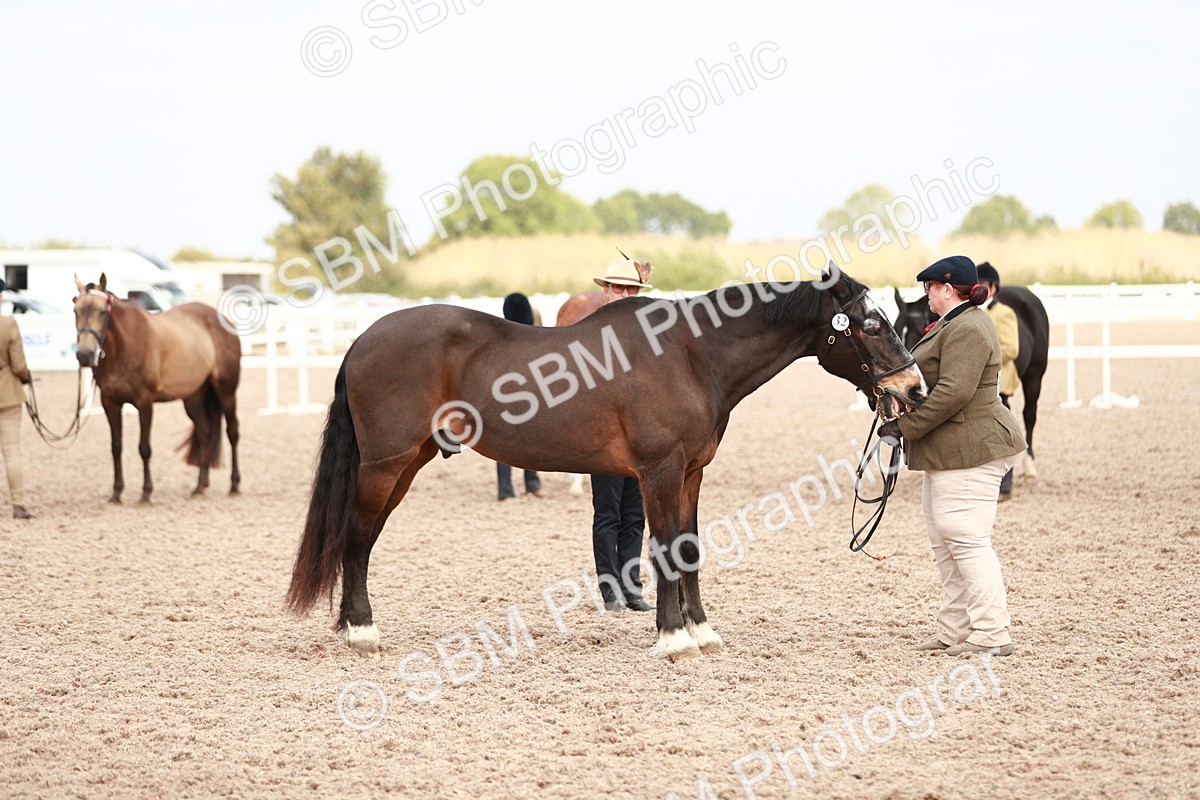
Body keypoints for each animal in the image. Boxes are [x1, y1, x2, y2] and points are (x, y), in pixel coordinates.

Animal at [73, 274, 243, 503]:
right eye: (76, 310)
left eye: (103, 311)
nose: (85, 355)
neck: (126, 346)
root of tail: (221, 319)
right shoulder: (110, 403)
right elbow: (116, 447)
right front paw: (116, 493)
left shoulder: (145, 403)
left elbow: (144, 448)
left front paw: (146, 492)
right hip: (194, 398)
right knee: (205, 433)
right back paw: (199, 486)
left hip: (226, 391)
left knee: (232, 432)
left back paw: (234, 484)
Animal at [286, 268, 927, 662]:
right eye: (872, 324)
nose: (914, 388)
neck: (690, 356)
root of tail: (364, 338)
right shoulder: (660, 472)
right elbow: (664, 548)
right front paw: (673, 640)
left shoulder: (691, 473)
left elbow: (689, 547)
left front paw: (701, 631)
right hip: (385, 464)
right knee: (357, 536)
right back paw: (363, 632)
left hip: (407, 463)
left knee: (361, 538)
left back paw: (350, 625)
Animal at [893, 285, 1050, 469]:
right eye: (894, 330)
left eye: (918, 330)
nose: (904, 377)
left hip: (1034, 376)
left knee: (1029, 415)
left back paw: (1029, 464)